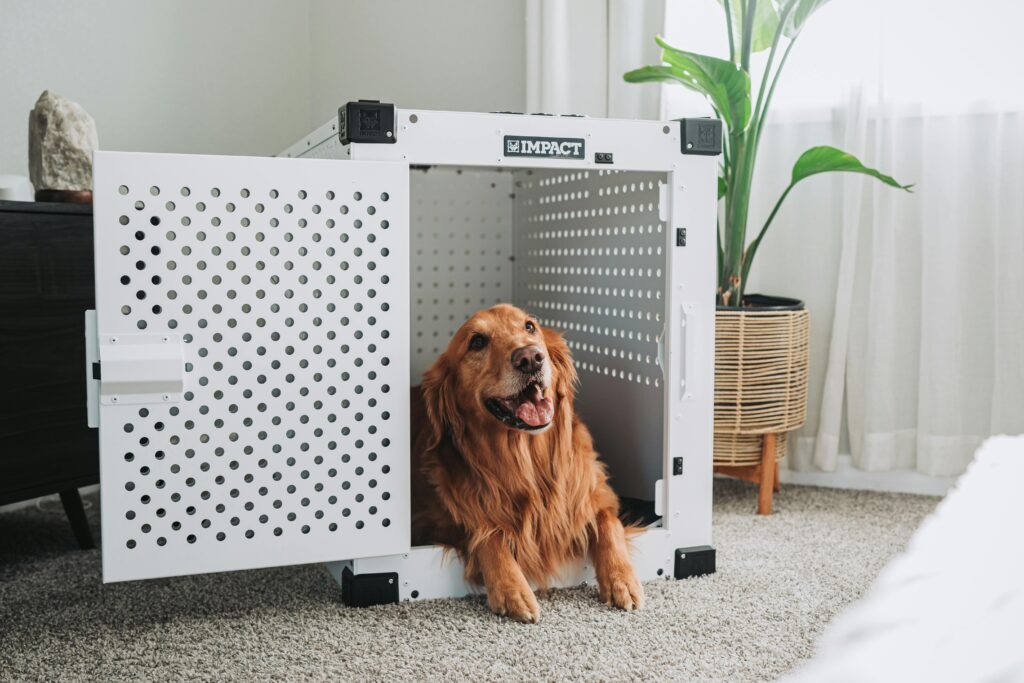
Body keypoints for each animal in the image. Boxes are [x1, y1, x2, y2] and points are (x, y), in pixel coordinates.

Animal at [411, 307, 643, 622]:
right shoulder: (434, 520)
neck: (529, 462)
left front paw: (622, 579)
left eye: (530, 326)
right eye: (477, 342)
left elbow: (609, 522)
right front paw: (513, 589)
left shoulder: (595, 493)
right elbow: (487, 532)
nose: (530, 357)